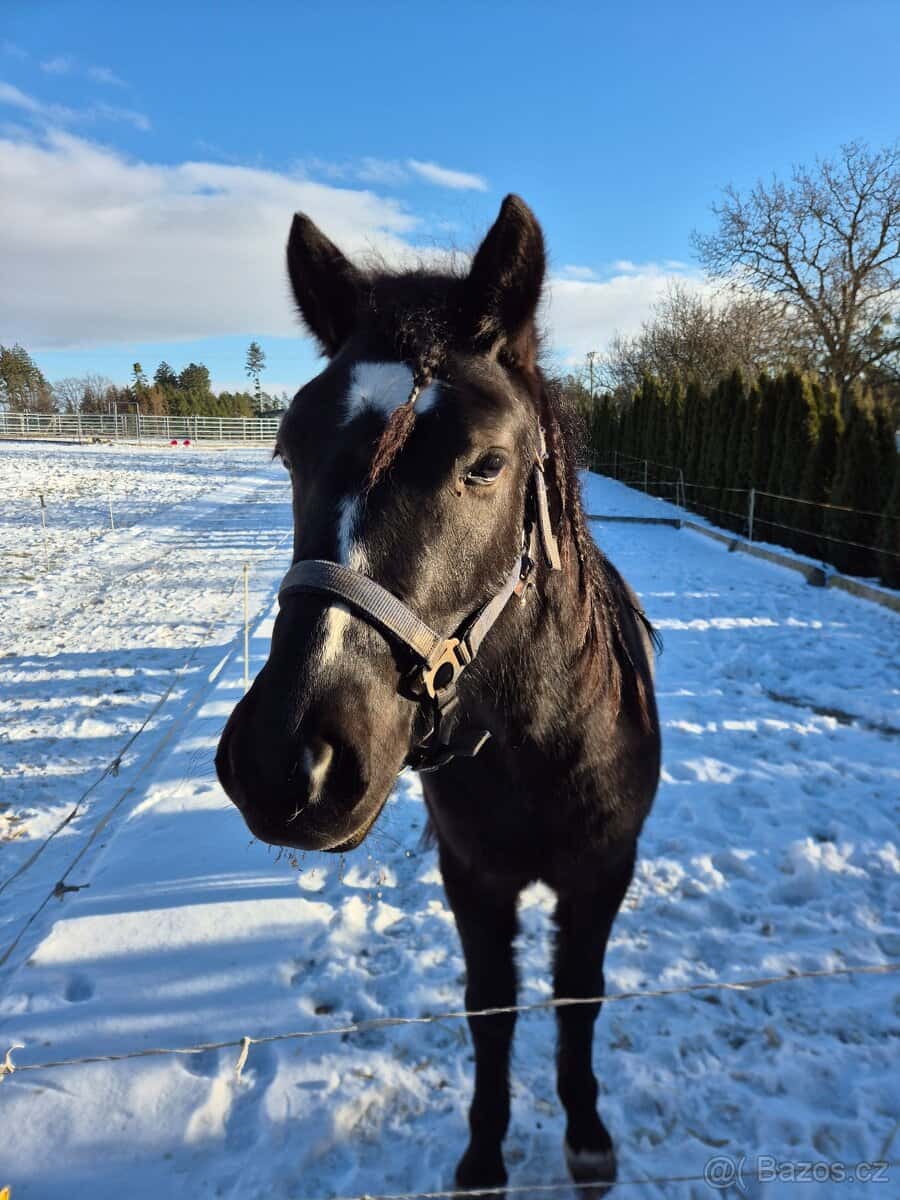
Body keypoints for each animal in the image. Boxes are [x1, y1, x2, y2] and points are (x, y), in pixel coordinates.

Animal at [215, 194, 661, 1191]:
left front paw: (586, 1136)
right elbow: (490, 1009)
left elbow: (578, 1000)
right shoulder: (474, 877)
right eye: (287, 449)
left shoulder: (601, 871)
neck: (542, 742)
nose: (285, 761)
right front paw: (485, 1153)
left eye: (486, 465)